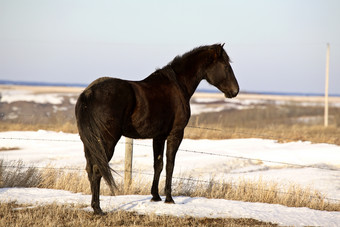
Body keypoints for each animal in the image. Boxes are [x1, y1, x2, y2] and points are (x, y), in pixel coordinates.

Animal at [74, 43, 239, 215]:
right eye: (226, 66)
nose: (235, 91)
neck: (177, 85)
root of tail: (89, 92)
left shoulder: (158, 136)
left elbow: (158, 164)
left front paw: (155, 196)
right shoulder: (175, 134)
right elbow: (170, 165)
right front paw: (169, 198)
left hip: (89, 143)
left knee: (90, 170)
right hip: (106, 142)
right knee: (97, 170)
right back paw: (98, 208)